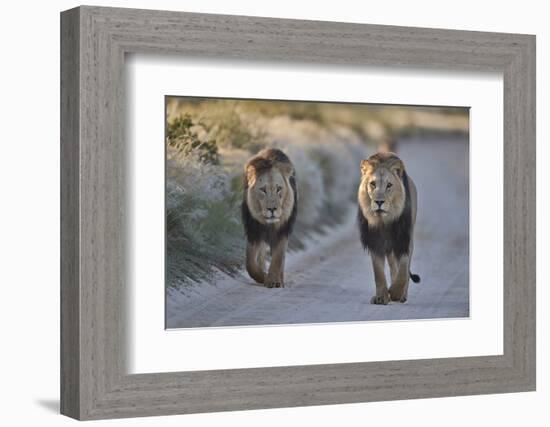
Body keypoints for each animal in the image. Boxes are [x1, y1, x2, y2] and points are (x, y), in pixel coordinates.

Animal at [244, 149, 300, 290]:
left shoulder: (283, 231)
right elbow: (250, 263)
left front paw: (273, 280)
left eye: (279, 189)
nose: (272, 209)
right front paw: (262, 277)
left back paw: (280, 280)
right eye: (263, 190)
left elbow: (278, 258)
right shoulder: (254, 231)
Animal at [358, 153, 422, 304]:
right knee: (393, 266)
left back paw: (402, 295)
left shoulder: (404, 239)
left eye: (389, 185)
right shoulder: (375, 242)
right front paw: (382, 297)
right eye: (373, 184)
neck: (384, 221)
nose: (379, 202)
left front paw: (396, 292)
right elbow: (378, 273)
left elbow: (404, 268)